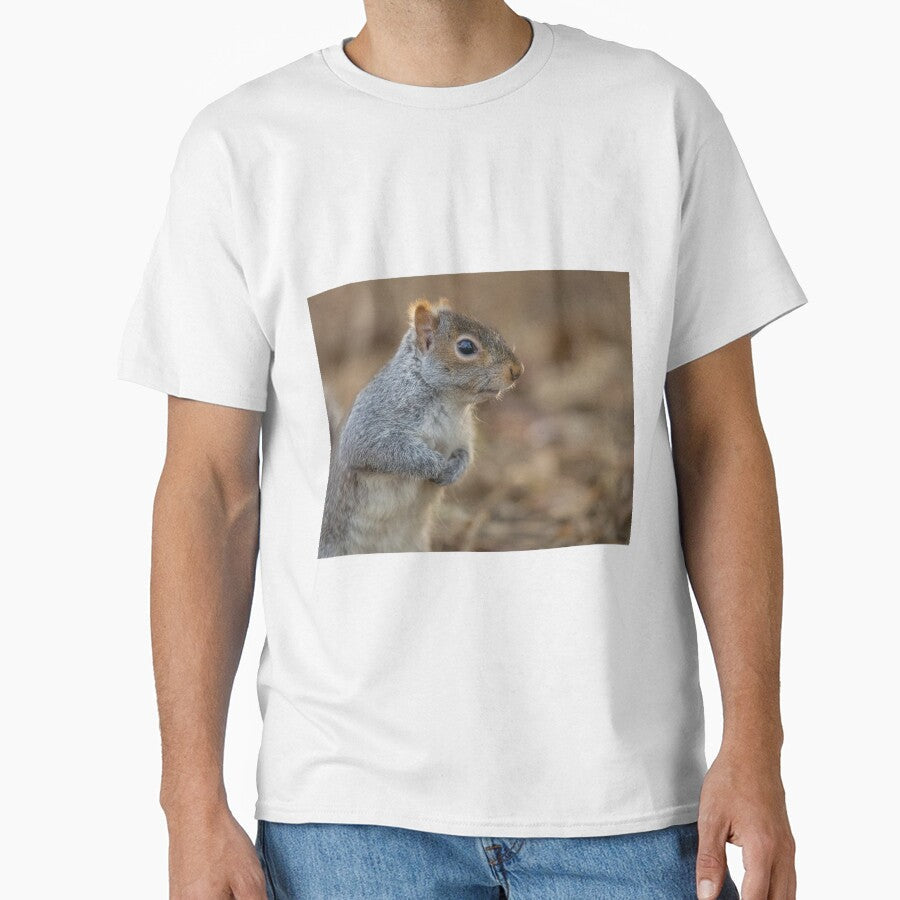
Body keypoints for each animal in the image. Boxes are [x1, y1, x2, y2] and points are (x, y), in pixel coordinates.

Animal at [319, 298, 523, 558]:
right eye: (466, 347)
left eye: (495, 330)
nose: (517, 370)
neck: (450, 402)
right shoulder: (372, 420)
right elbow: (376, 449)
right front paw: (435, 465)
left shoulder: (462, 436)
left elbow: (466, 454)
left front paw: (454, 469)